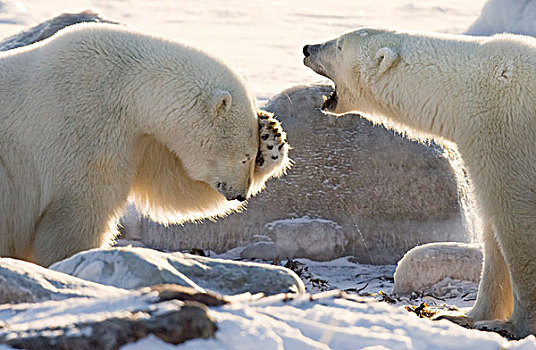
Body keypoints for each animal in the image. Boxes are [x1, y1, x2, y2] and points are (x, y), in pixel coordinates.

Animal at [0, 22, 288, 266]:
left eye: (253, 155)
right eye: (244, 156)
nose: (240, 194)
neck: (125, 86)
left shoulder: (140, 138)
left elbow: (173, 185)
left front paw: (271, 136)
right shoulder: (85, 124)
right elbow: (80, 207)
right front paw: (73, 259)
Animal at [306, 28, 536, 340]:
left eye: (339, 45)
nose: (307, 48)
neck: (465, 87)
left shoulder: (506, 130)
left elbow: (518, 222)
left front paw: (515, 325)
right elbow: (493, 230)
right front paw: (465, 317)